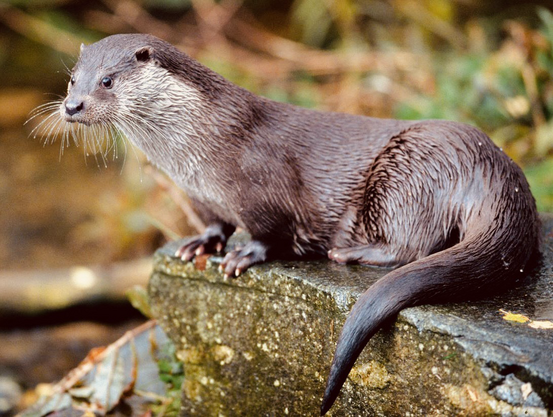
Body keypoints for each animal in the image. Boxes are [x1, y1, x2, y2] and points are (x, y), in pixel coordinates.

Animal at [50, 34, 539, 414]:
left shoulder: (263, 186)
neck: (198, 151)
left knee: (414, 245)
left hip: (409, 171)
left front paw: (245, 255)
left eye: (107, 80)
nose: (73, 105)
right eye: (73, 78)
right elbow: (215, 224)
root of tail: (493, 167)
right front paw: (202, 244)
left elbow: (272, 233)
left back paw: (349, 252)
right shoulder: (199, 196)